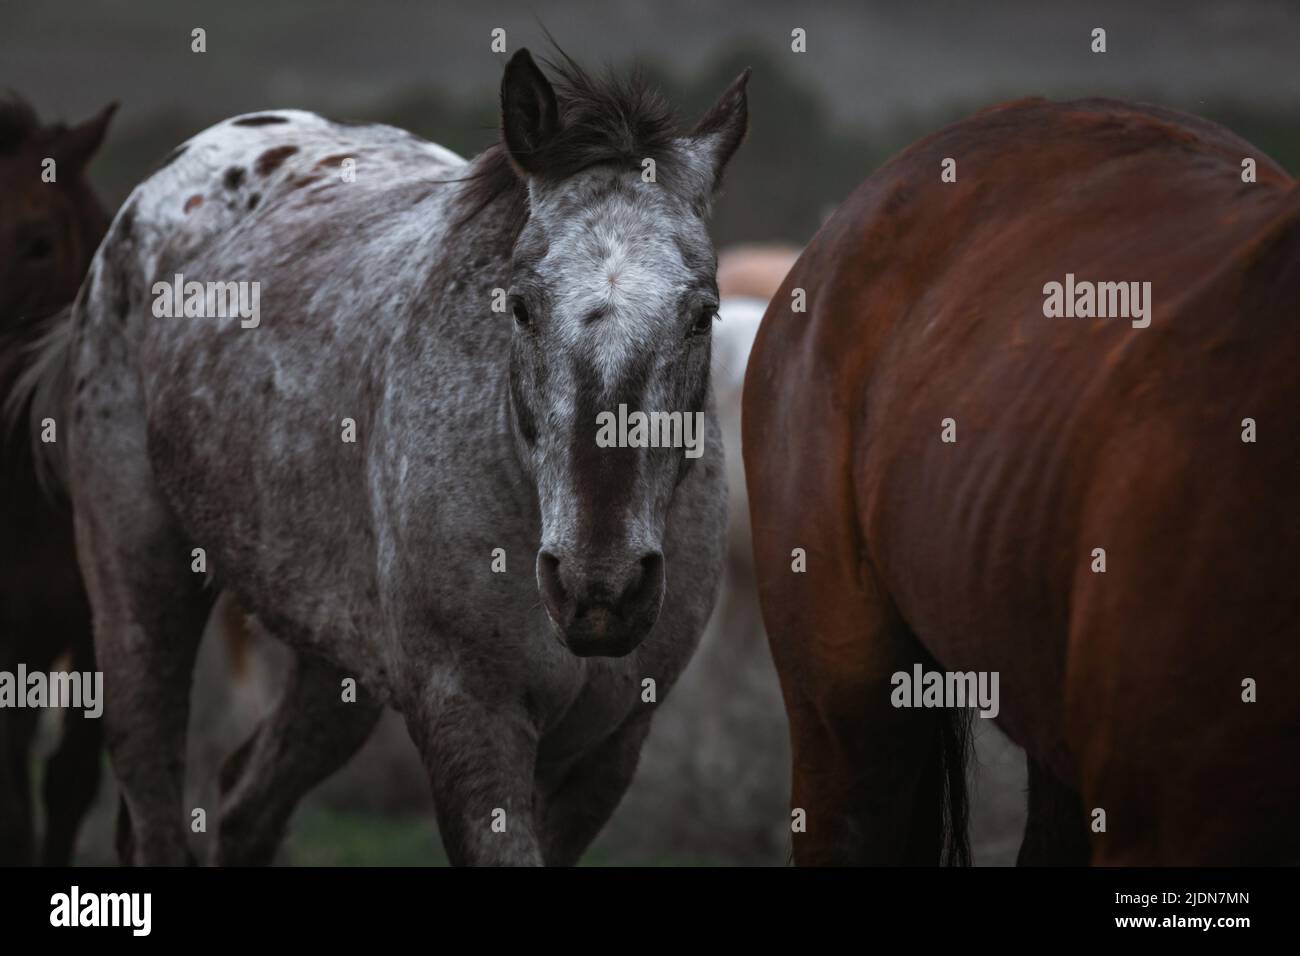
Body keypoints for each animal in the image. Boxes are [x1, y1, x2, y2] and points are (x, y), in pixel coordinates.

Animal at [20, 48, 749, 866]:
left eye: (703, 314)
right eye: (521, 306)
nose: (601, 587)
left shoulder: (608, 749)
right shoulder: (469, 720)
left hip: (334, 668)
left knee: (245, 804)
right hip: (137, 589)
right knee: (153, 804)